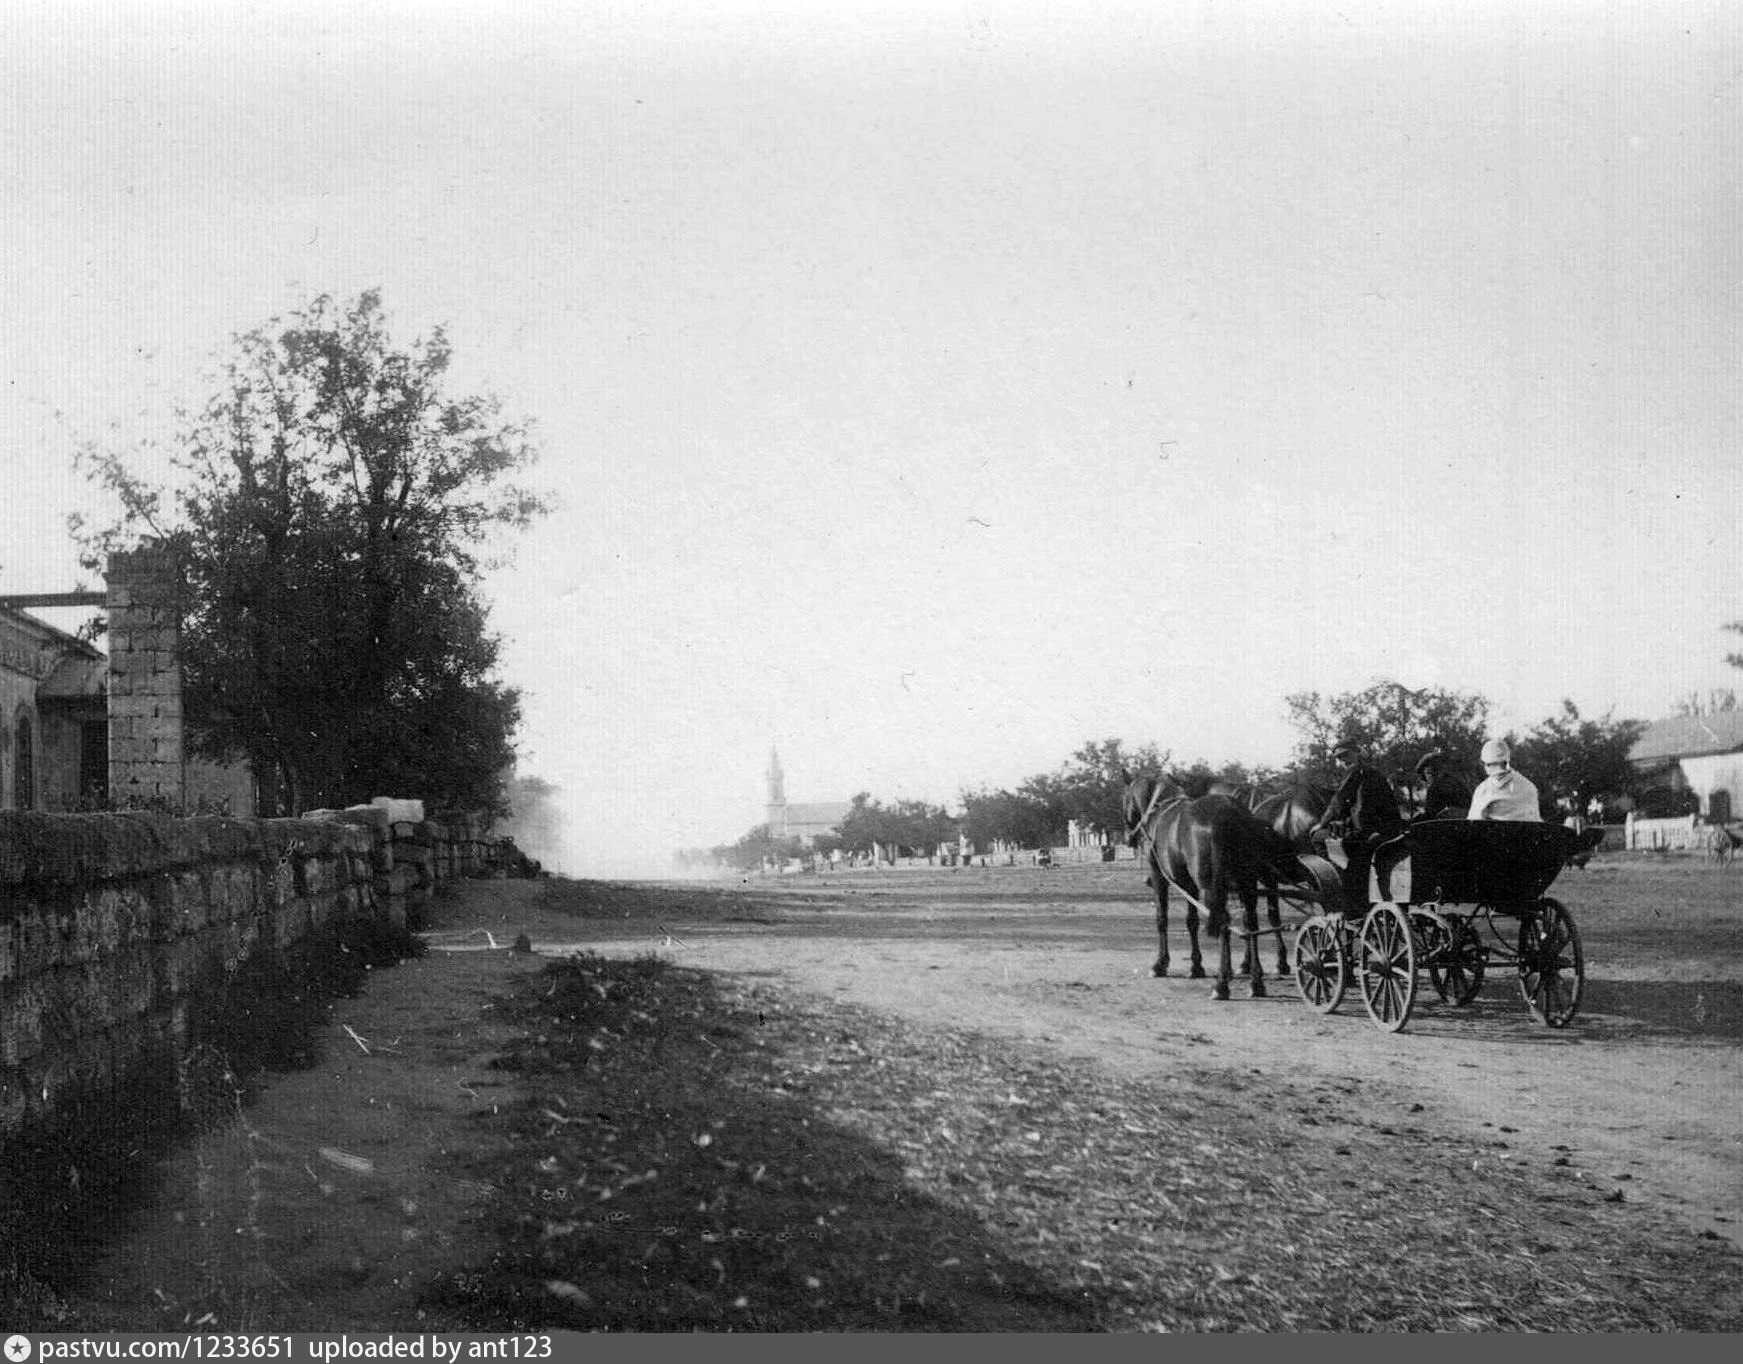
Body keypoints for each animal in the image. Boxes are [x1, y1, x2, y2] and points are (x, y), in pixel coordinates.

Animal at [1122, 780, 1303, 1003]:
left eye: (1125, 798)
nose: (1128, 837)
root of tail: (1233, 812)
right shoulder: (1190, 885)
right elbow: (1192, 922)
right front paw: (1196, 966)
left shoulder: (1159, 879)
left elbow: (1162, 919)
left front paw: (1161, 964)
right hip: (1246, 884)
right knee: (1250, 923)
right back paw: (1256, 982)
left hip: (1214, 887)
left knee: (1226, 922)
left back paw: (1221, 985)